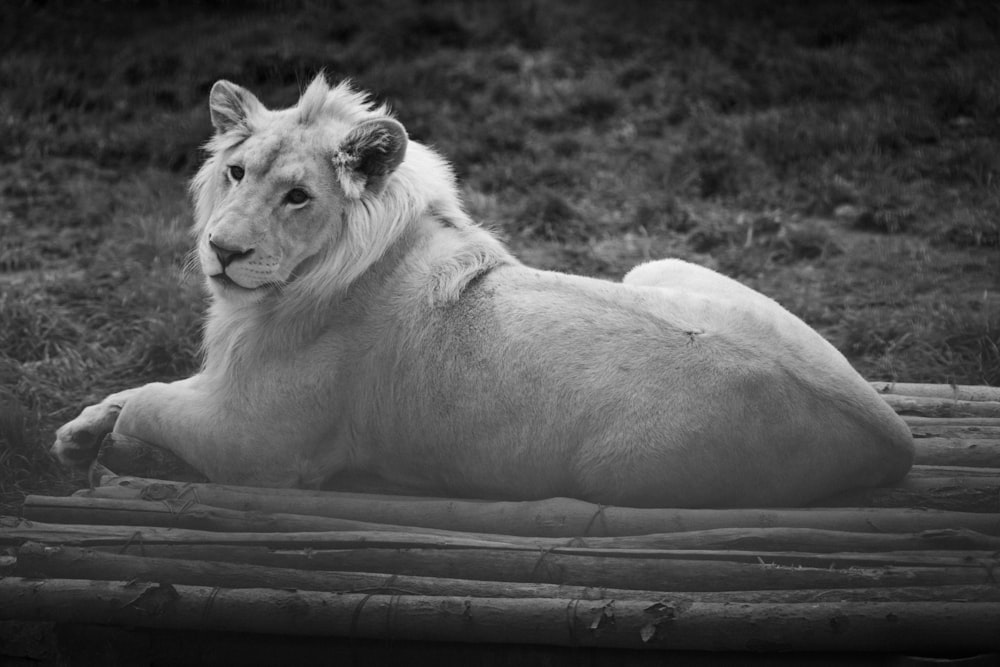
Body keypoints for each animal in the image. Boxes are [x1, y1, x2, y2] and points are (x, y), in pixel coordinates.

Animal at [52, 73, 916, 506]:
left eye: (298, 196)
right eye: (236, 172)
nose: (222, 250)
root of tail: (896, 438)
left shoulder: (261, 444)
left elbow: (155, 394)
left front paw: (100, 437)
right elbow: (147, 386)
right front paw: (84, 429)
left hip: (620, 469)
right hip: (657, 266)